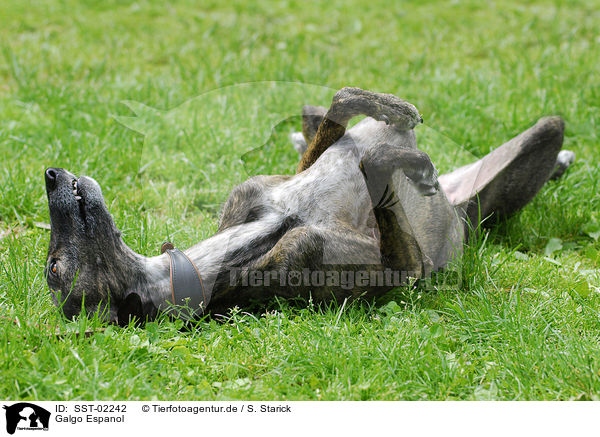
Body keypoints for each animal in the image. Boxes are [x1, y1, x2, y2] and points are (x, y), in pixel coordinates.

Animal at [44, 87, 576, 324]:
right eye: (55, 270)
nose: (49, 176)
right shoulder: (399, 268)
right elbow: (376, 165)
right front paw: (404, 159)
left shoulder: (261, 190)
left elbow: (341, 105)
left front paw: (390, 110)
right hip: (488, 198)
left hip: (542, 131)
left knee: (318, 121)